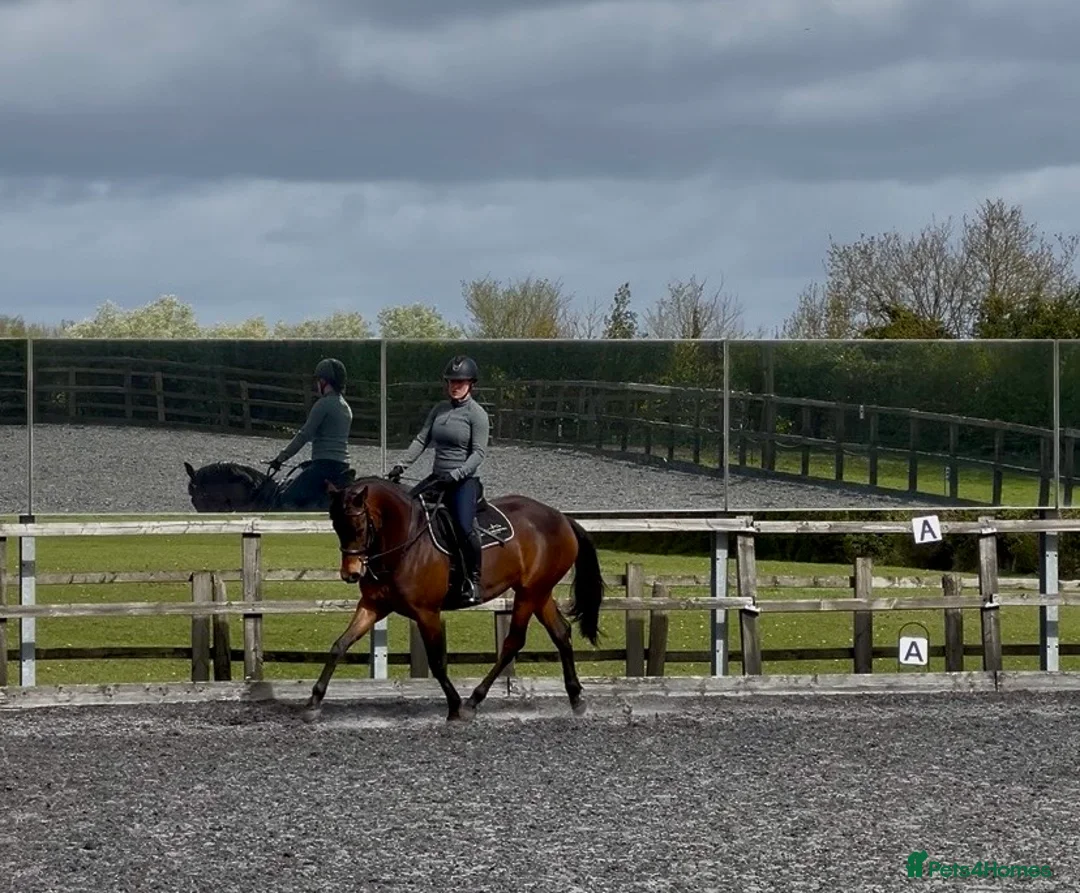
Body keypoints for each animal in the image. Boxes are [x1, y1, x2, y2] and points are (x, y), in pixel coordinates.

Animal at [306, 476, 606, 722]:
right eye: (335, 525)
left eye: (358, 526)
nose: (350, 573)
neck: (403, 541)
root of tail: (561, 518)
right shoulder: (373, 606)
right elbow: (340, 645)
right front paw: (313, 702)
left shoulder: (426, 612)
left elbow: (437, 662)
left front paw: (455, 707)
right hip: (539, 592)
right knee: (560, 633)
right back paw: (576, 699)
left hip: (529, 593)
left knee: (513, 642)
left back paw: (474, 701)